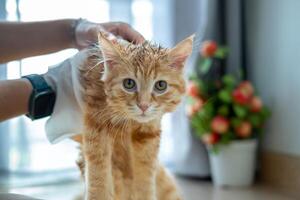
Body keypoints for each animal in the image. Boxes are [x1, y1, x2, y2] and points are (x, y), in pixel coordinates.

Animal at [77, 33, 193, 199]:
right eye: (129, 84)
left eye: (161, 85)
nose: (143, 105)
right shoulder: (96, 127)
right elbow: (98, 173)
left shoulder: (148, 136)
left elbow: (145, 179)